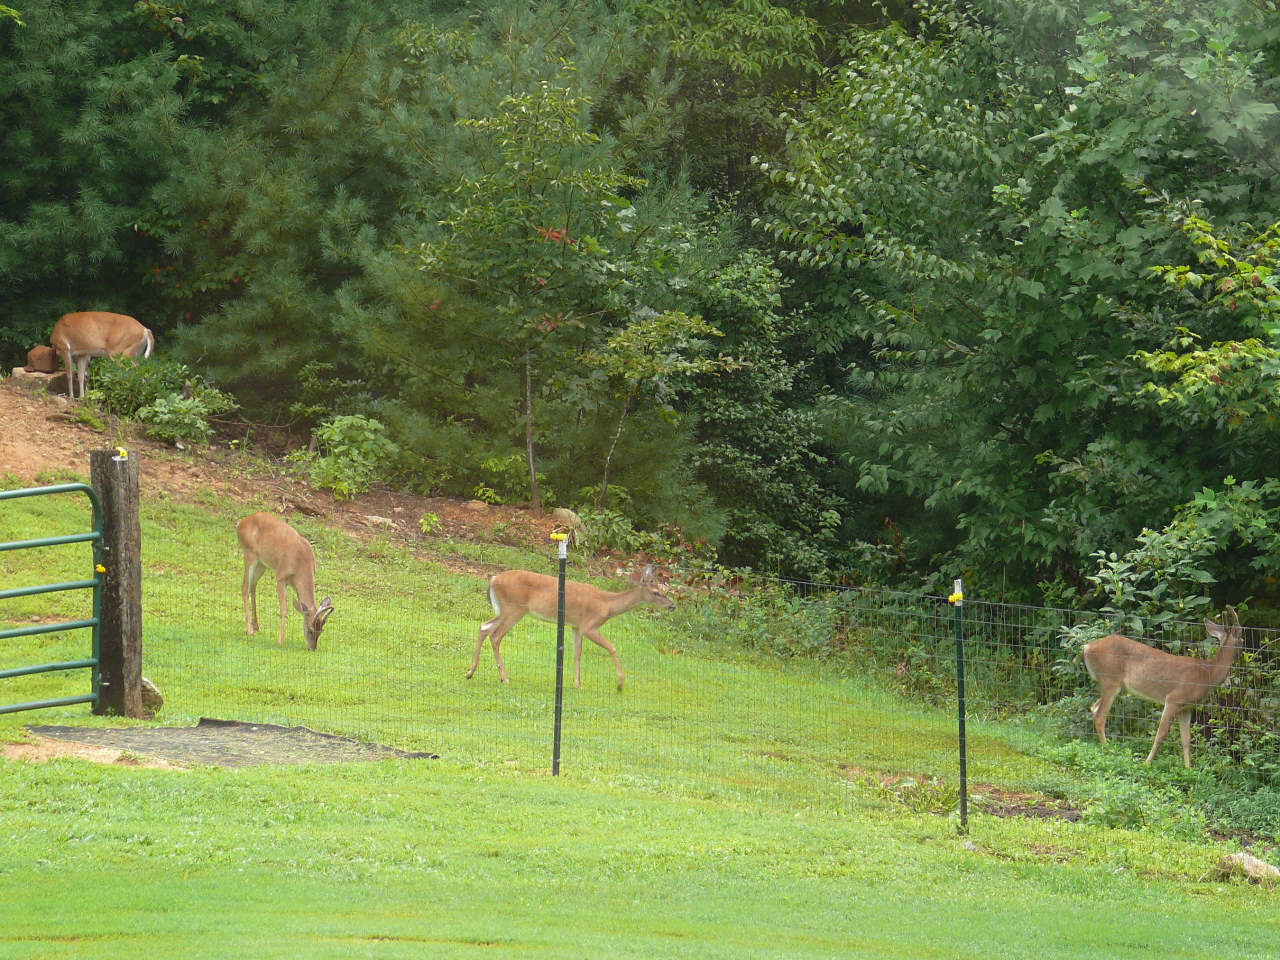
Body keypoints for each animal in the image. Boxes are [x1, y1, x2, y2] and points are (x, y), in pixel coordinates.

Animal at [236, 512, 334, 651]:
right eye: (310, 630)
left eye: (321, 631)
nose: (312, 648)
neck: (301, 564)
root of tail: (240, 523)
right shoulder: (281, 577)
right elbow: (284, 609)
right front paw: (281, 641)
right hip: (249, 554)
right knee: (244, 588)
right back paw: (249, 630)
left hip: (262, 563)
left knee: (252, 587)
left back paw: (255, 625)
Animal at [467, 564, 674, 691]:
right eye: (656, 592)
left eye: (661, 591)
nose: (672, 606)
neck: (607, 605)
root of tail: (493, 579)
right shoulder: (589, 625)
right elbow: (612, 647)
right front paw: (620, 683)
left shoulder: (575, 626)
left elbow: (577, 653)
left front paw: (577, 683)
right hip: (514, 608)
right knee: (495, 636)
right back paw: (504, 677)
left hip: (504, 609)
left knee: (483, 627)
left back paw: (470, 672)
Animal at [1081, 606, 1243, 768]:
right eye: (1241, 636)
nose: (1244, 647)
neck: (1206, 674)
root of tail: (1087, 647)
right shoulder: (1173, 699)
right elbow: (1161, 734)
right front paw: (1146, 763)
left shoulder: (1186, 707)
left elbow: (1186, 739)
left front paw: (1188, 768)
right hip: (1110, 680)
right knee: (1100, 716)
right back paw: (1108, 749)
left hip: (1114, 685)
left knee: (1094, 707)